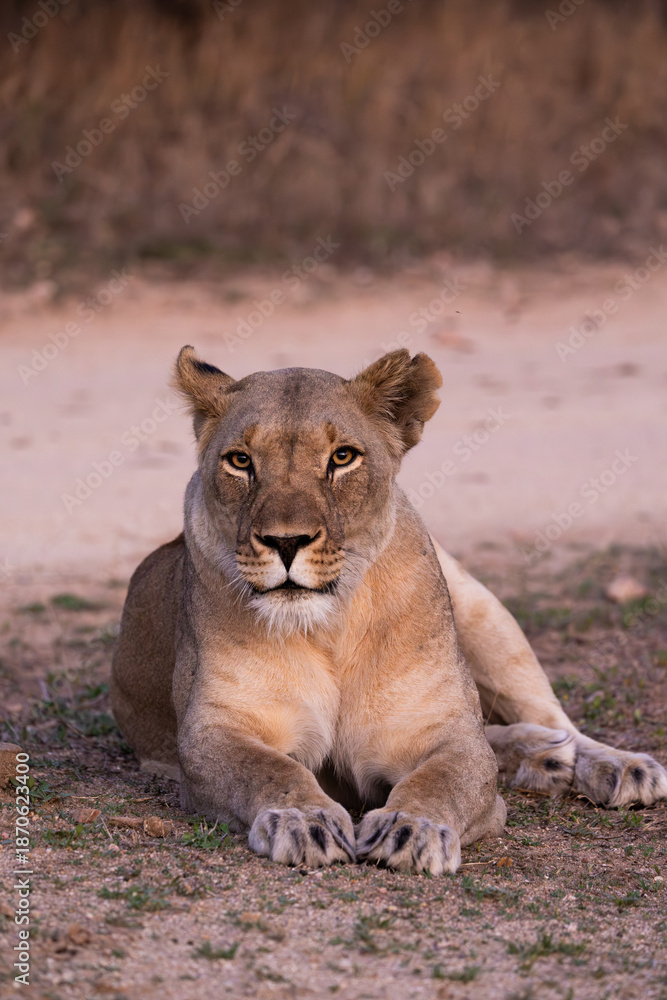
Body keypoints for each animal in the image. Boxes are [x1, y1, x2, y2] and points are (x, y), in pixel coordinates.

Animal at [111, 347, 667, 874]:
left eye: (342, 457)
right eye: (241, 461)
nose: (286, 542)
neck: (330, 626)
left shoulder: (445, 733)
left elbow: (445, 778)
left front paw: (412, 830)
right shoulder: (212, 733)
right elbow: (270, 769)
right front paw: (304, 819)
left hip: (482, 611)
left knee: (547, 715)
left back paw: (613, 765)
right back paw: (545, 756)